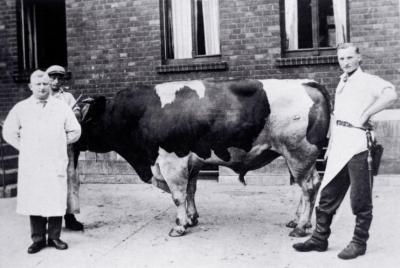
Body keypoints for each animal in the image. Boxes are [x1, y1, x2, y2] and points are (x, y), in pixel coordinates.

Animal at [76, 79, 332, 237]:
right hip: (300, 157)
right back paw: (298, 220)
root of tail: (306, 82)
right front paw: (191, 218)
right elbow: (190, 190)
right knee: (308, 186)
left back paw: (301, 227)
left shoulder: (171, 161)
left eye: (84, 118)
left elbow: (178, 195)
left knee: (309, 187)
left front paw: (179, 226)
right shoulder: (191, 163)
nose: (74, 140)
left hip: (298, 153)